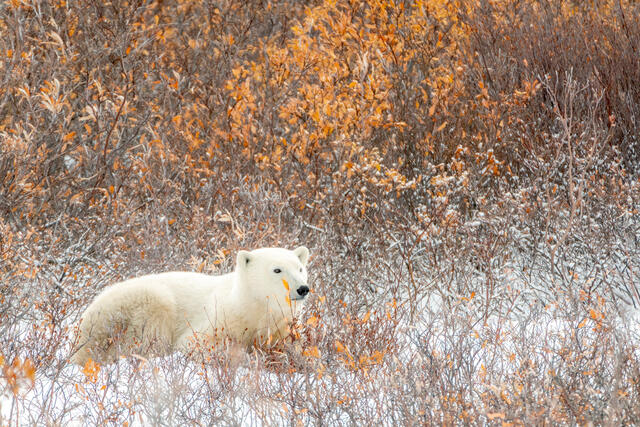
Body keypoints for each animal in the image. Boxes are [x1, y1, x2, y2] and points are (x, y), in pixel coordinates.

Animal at [71, 246, 310, 365]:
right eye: (277, 269)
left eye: (299, 268)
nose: (303, 289)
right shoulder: (220, 318)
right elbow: (195, 344)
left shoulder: (282, 326)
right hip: (134, 305)